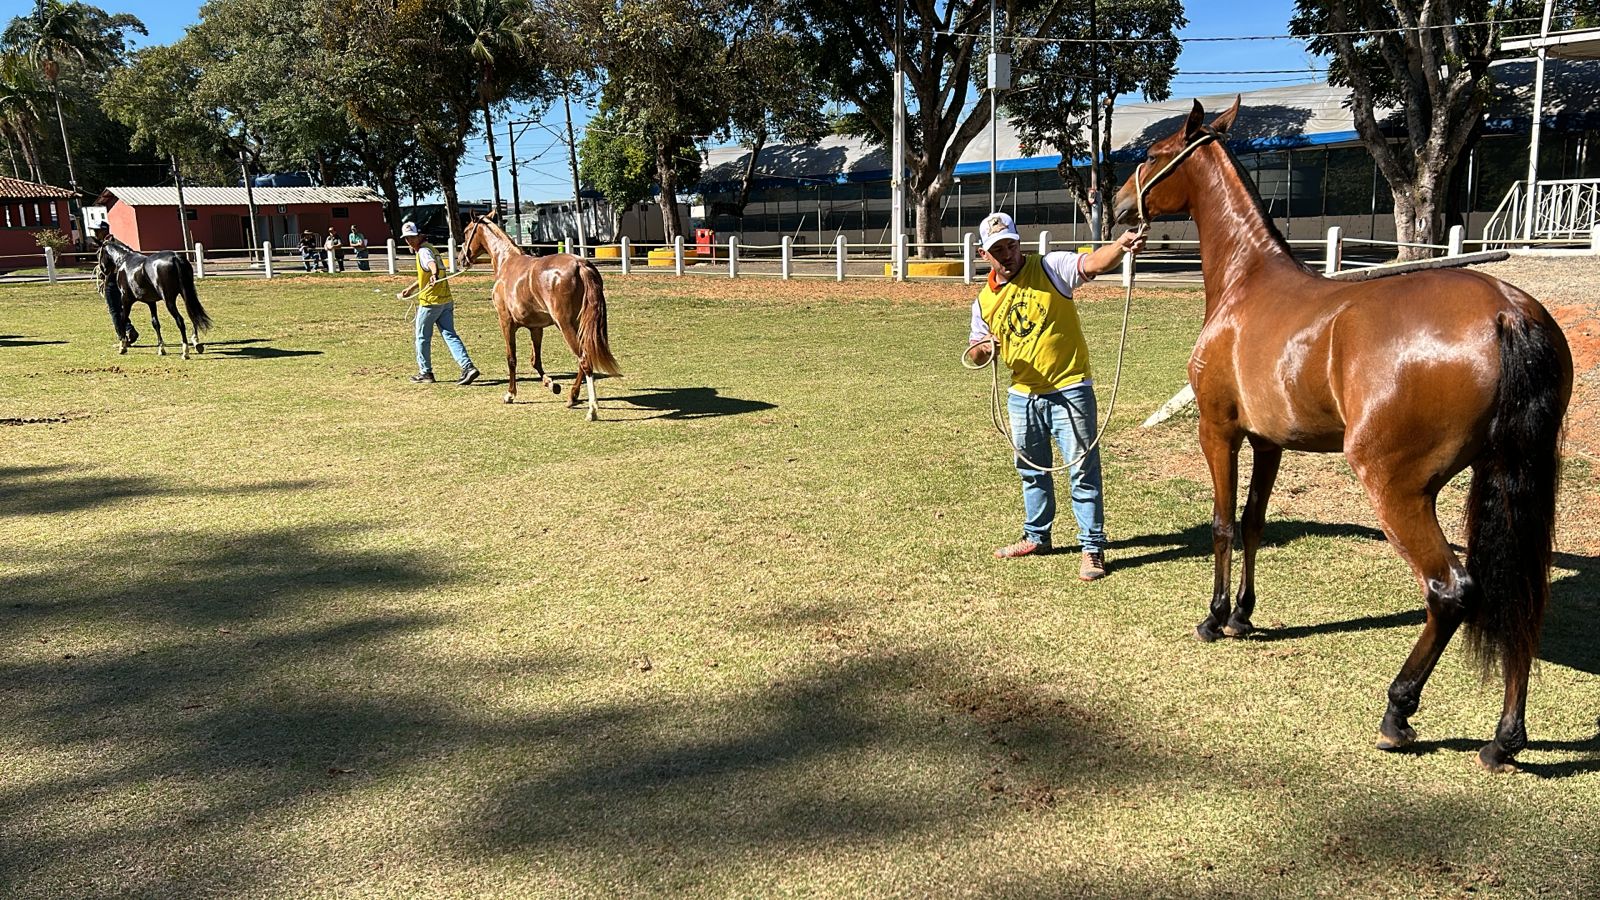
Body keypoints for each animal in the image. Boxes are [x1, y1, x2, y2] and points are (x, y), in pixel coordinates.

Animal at [460, 216, 620, 419]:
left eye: (466, 231)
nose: (461, 258)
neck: (507, 263)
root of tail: (580, 265)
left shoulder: (505, 322)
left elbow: (511, 358)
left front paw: (510, 394)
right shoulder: (536, 328)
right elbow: (535, 360)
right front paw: (552, 384)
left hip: (565, 325)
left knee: (584, 360)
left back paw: (592, 409)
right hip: (578, 326)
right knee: (583, 358)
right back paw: (572, 396)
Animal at [1113, 98, 1574, 771]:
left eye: (1150, 156)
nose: (1119, 204)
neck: (1246, 284)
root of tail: (1507, 310)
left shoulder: (1218, 430)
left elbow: (1223, 523)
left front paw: (1215, 617)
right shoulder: (1268, 441)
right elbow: (1253, 521)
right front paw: (1244, 617)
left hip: (1396, 488)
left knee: (1452, 590)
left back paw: (1399, 711)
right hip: (1510, 480)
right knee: (1521, 594)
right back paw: (1504, 738)